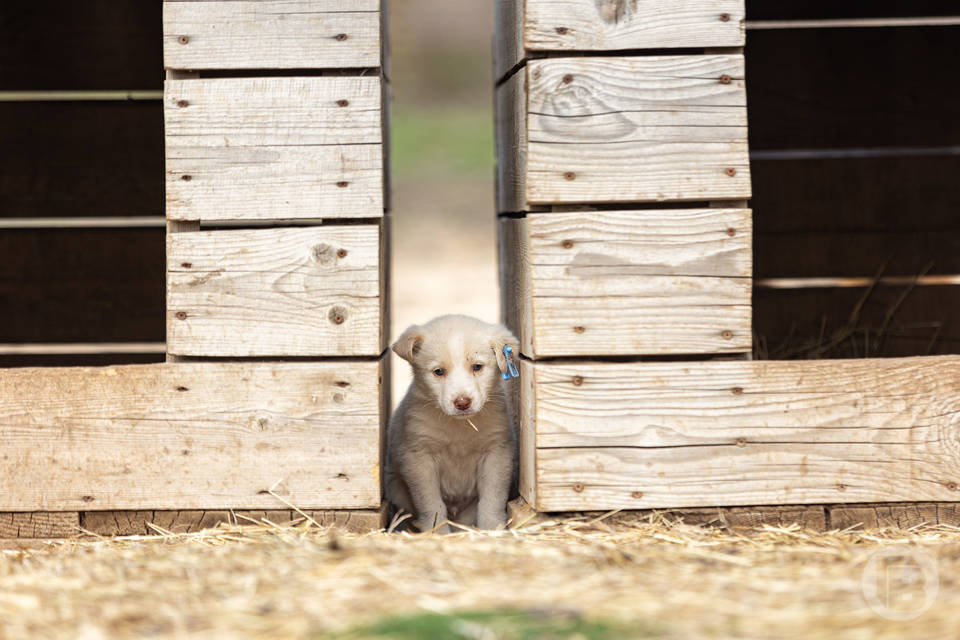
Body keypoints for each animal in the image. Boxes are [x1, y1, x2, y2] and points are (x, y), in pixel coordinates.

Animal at [384, 314, 516, 528]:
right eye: (439, 372)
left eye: (477, 367)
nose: (462, 402)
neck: (459, 427)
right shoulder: (419, 458)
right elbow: (432, 504)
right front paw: (436, 530)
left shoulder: (497, 454)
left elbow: (492, 500)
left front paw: (491, 528)